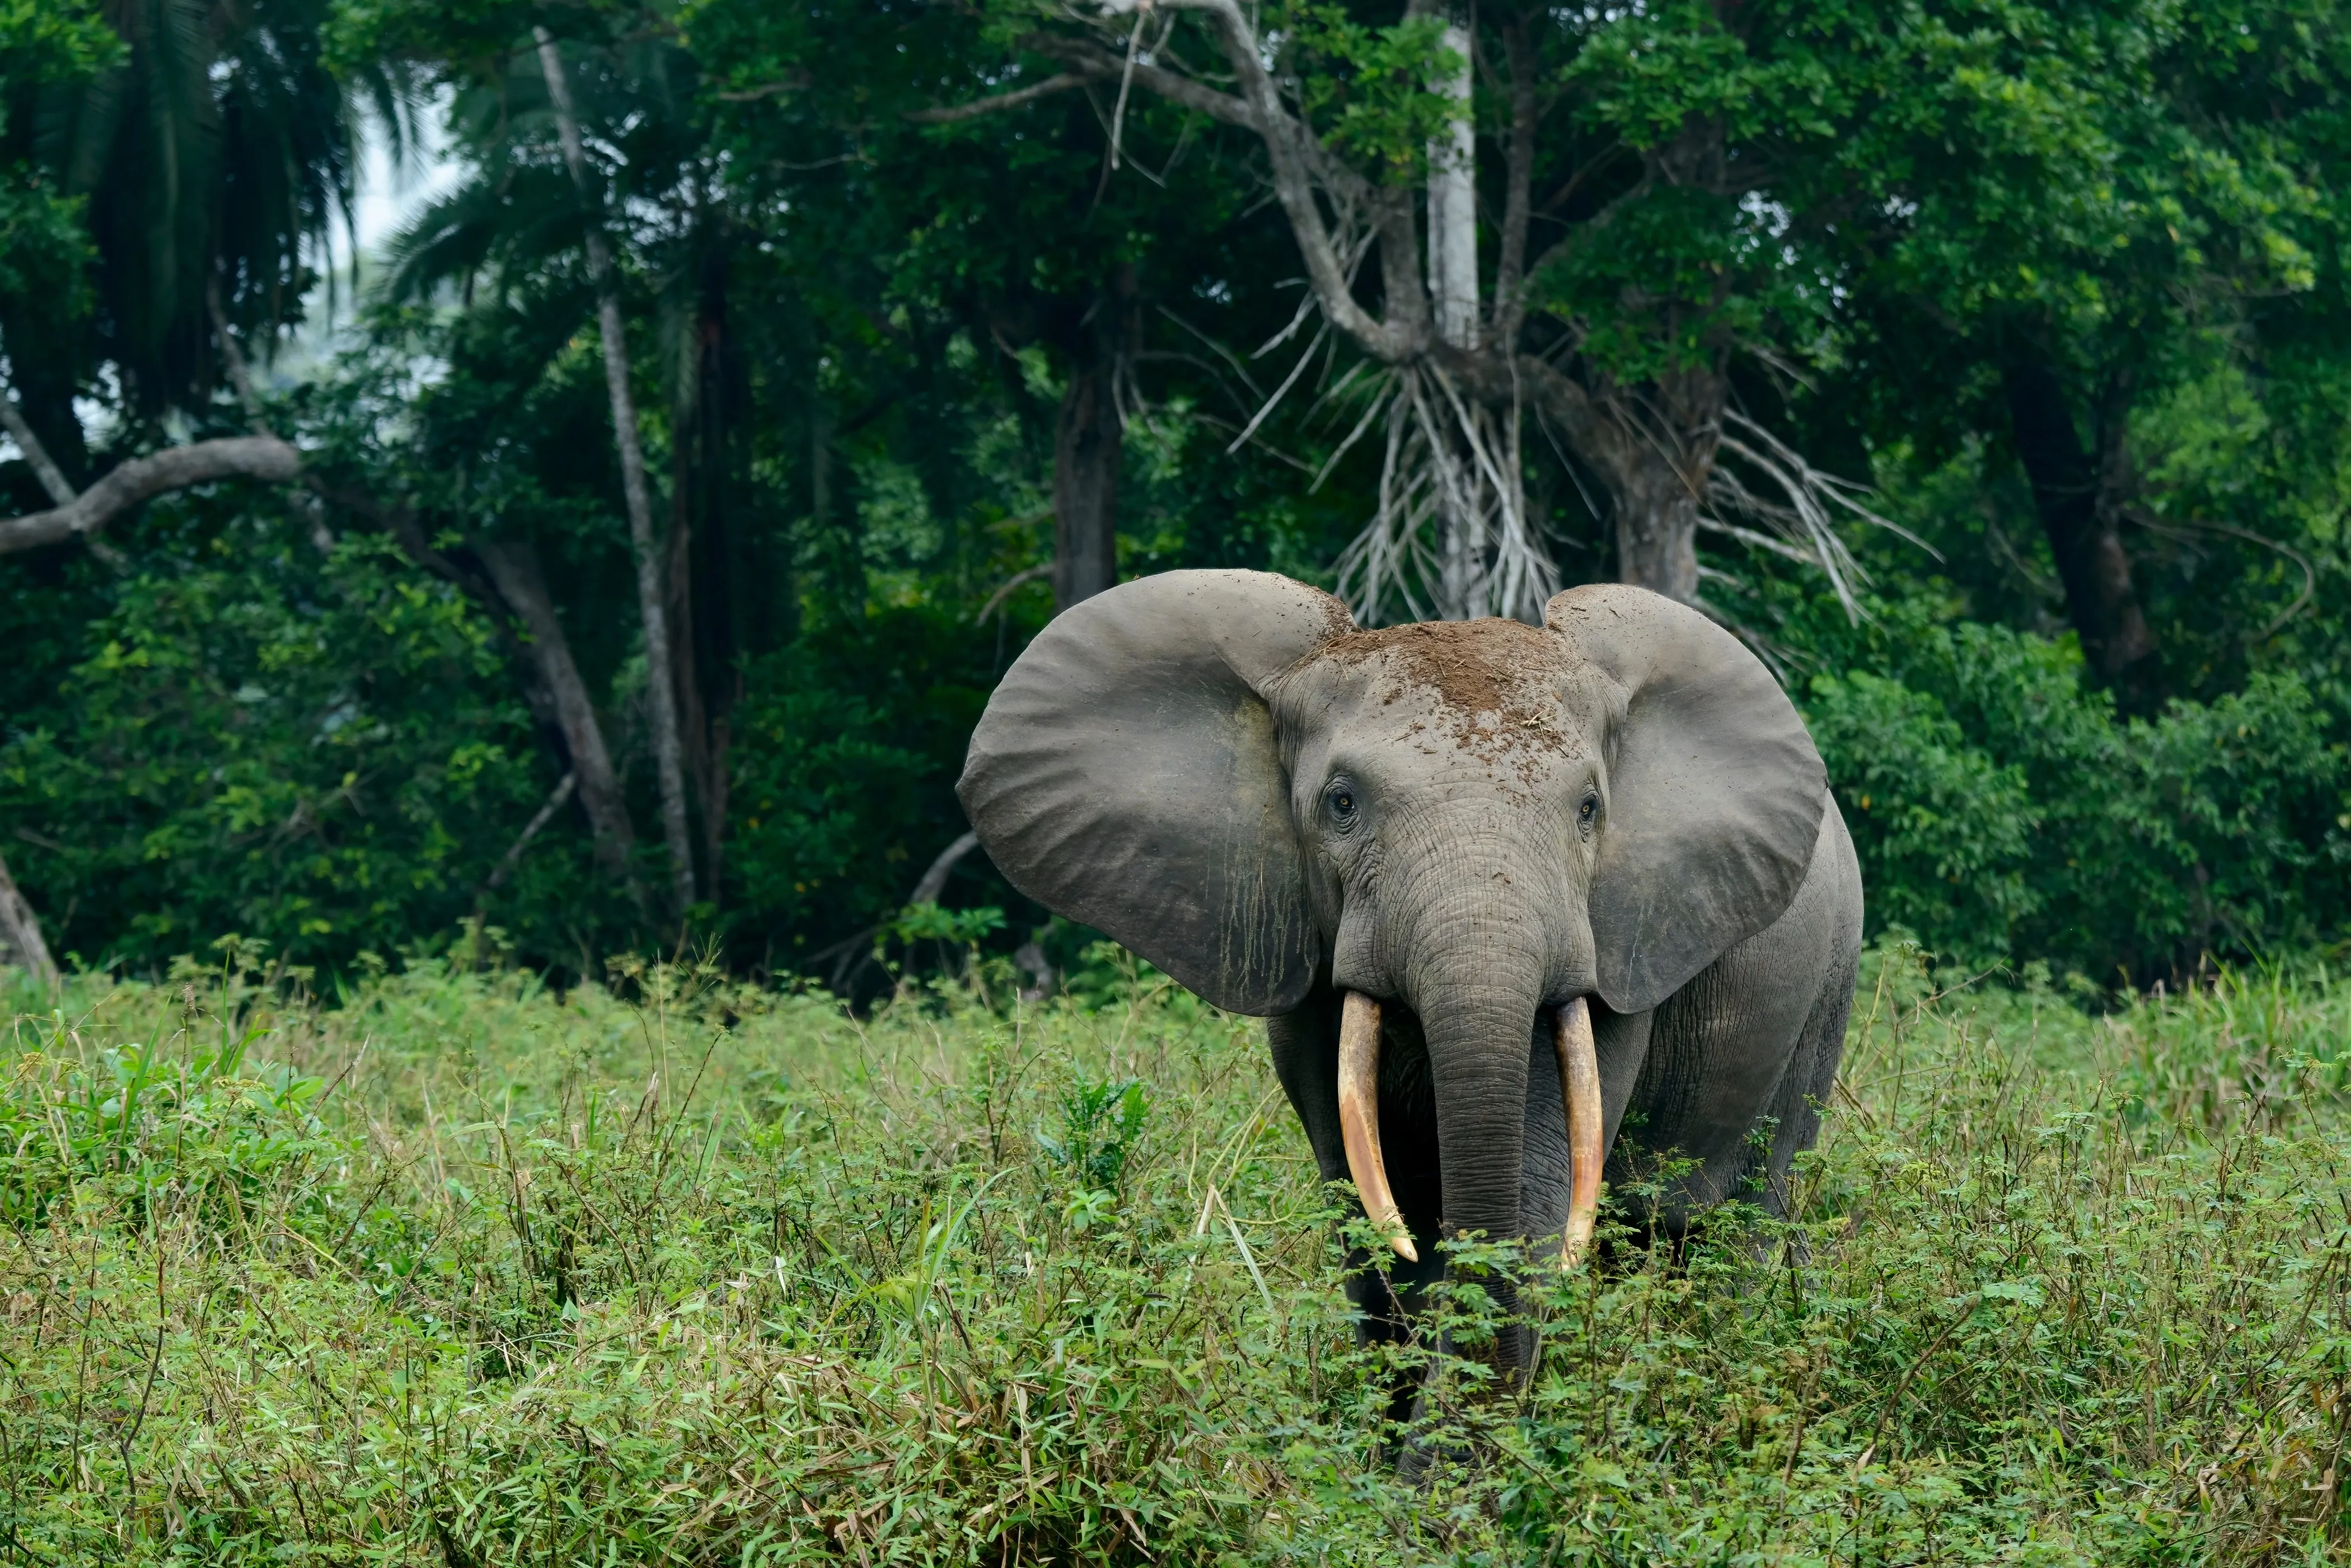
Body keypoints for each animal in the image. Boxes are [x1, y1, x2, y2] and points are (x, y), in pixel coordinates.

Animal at [956, 569, 1862, 1401]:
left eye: (1590, 809)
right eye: (1341, 803)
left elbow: (1530, 1196)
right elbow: (1368, 1210)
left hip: (1828, 984)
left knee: (1740, 1213)